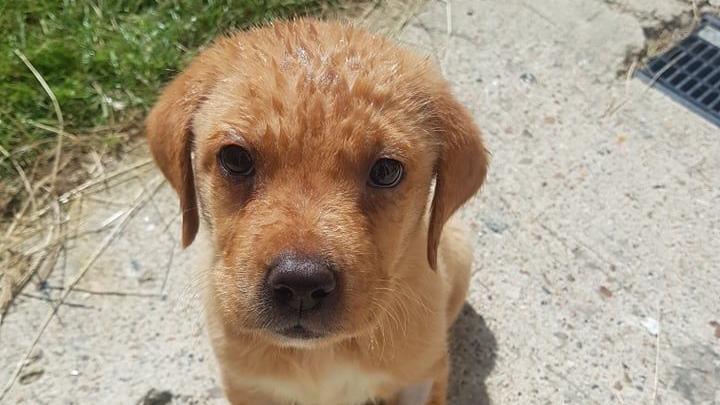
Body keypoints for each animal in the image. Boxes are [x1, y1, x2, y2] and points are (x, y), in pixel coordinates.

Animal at [148, 17, 490, 402]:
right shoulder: (245, 385)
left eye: (387, 171)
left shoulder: (418, 379)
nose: (301, 284)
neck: (321, 354)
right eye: (235, 159)